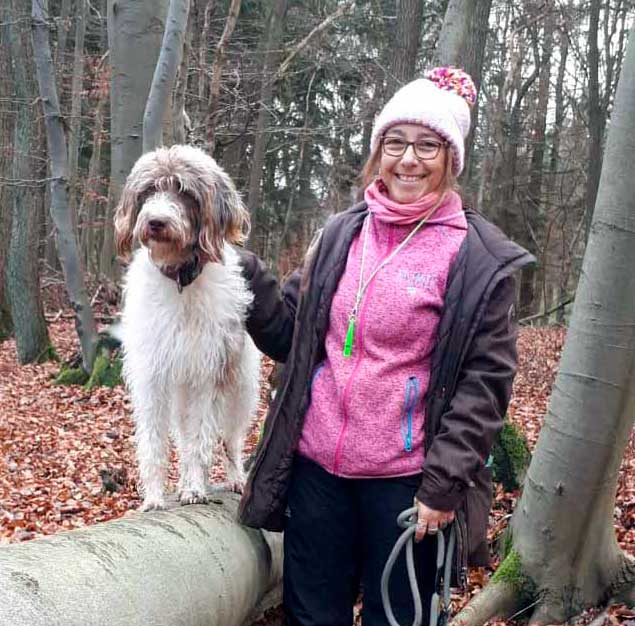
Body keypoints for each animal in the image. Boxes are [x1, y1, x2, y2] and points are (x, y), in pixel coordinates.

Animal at [115, 144, 260, 510]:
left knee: (230, 441)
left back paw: (235, 478)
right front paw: (154, 497)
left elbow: (201, 441)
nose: (156, 222)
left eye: (184, 192)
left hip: (239, 390)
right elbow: (154, 443)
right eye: (149, 190)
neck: (180, 279)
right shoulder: (152, 377)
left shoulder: (207, 376)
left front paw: (194, 488)